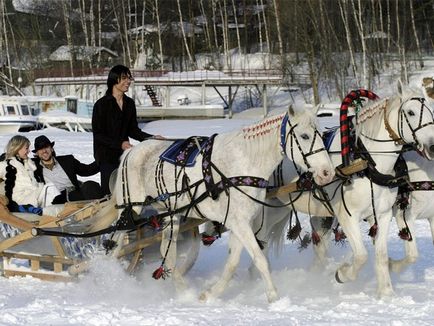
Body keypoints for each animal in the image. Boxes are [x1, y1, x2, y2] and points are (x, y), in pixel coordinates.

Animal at [112, 105, 336, 304]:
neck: (244, 163)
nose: (327, 172)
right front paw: (273, 296)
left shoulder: (240, 222)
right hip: (130, 209)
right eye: (305, 136)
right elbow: (259, 258)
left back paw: (182, 289)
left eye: (320, 134)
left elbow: (233, 263)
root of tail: (131, 151)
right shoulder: (239, 222)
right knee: (116, 244)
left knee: (167, 252)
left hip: (171, 214)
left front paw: (210, 294)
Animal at [260, 82, 434, 298]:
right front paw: (343, 274)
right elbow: (361, 256)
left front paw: (386, 292)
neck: (365, 160)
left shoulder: (383, 214)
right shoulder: (349, 216)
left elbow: (382, 255)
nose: (433, 146)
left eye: (431, 111)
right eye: (410, 112)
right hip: (268, 212)